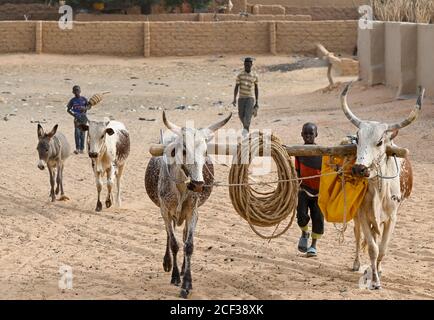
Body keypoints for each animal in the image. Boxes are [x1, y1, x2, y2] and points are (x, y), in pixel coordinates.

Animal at [340, 83, 422, 290]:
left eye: (379, 142)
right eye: (358, 139)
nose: (359, 168)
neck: (379, 190)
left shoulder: (392, 218)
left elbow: (382, 249)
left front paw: (377, 272)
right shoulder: (362, 214)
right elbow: (372, 248)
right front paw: (375, 280)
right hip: (359, 217)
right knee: (357, 235)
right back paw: (357, 264)